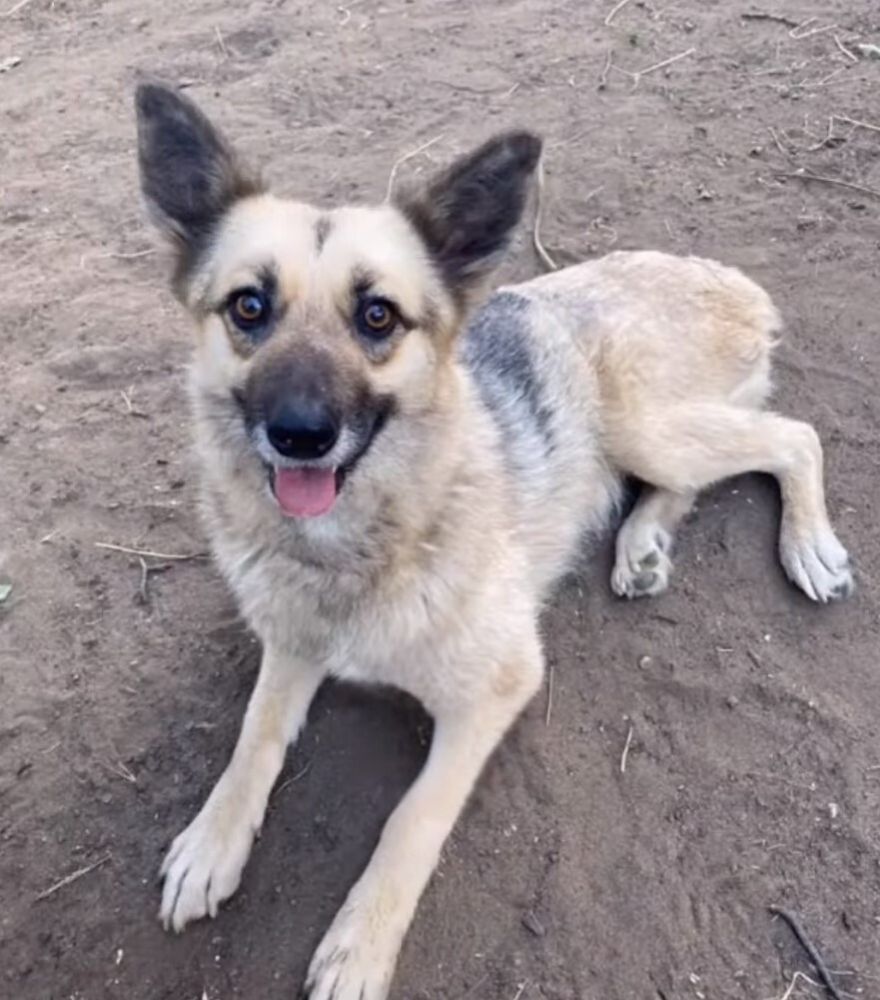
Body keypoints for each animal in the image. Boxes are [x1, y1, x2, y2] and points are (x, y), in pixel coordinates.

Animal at [136, 84, 852, 1000]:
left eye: (378, 316)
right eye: (247, 308)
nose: (298, 435)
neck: (360, 547)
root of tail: (716, 275)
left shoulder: (496, 688)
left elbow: (410, 820)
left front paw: (360, 945)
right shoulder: (290, 645)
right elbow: (252, 738)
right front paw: (213, 840)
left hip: (643, 425)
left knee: (793, 436)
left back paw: (808, 545)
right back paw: (642, 544)